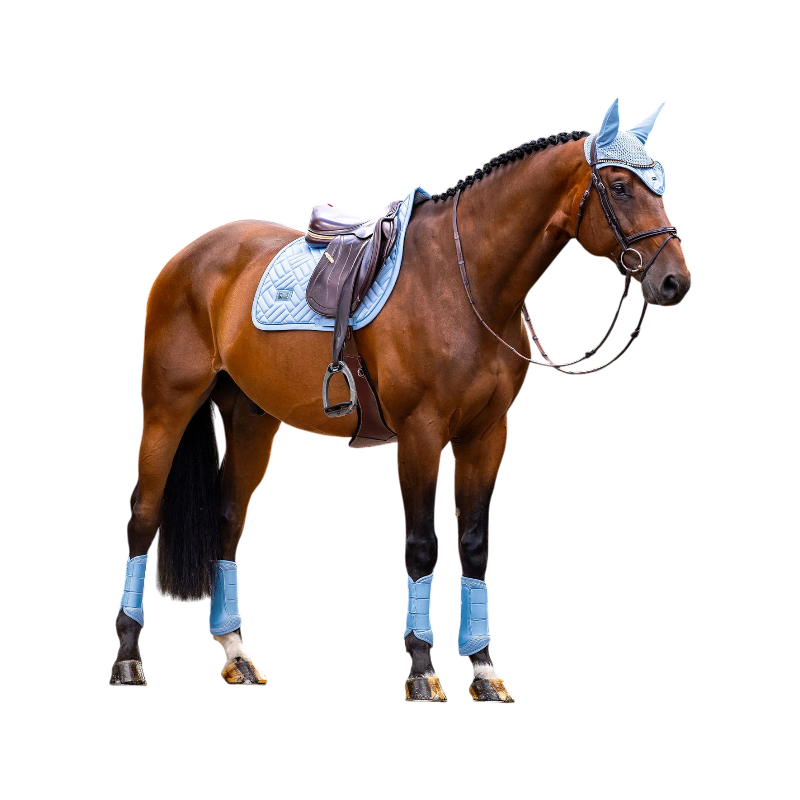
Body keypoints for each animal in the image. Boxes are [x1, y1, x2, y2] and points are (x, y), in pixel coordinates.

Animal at [112, 96, 691, 699]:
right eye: (620, 187)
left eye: (660, 185)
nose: (675, 281)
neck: (462, 281)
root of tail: (190, 256)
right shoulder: (421, 432)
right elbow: (420, 546)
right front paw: (422, 669)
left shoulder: (486, 433)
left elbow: (475, 543)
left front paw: (484, 668)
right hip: (167, 407)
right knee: (143, 515)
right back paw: (129, 659)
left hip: (252, 418)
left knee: (228, 518)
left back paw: (237, 653)